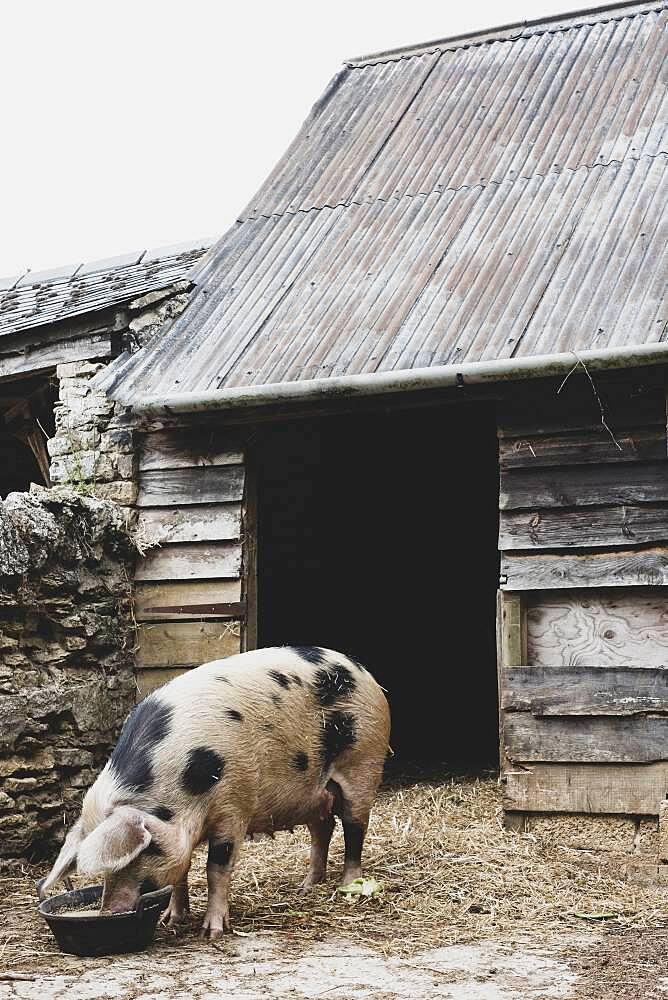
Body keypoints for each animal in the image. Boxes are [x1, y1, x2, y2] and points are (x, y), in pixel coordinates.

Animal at [39, 648, 388, 936]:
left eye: (142, 852)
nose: (109, 911)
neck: (186, 783)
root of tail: (362, 671)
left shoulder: (233, 806)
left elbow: (216, 869)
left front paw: (213, 932)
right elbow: (181, 871)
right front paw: (170, 920)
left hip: (364, 763)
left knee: (354, 828)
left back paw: (347, 885)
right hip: (313, 793)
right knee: (323, 827)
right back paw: (306, 886)